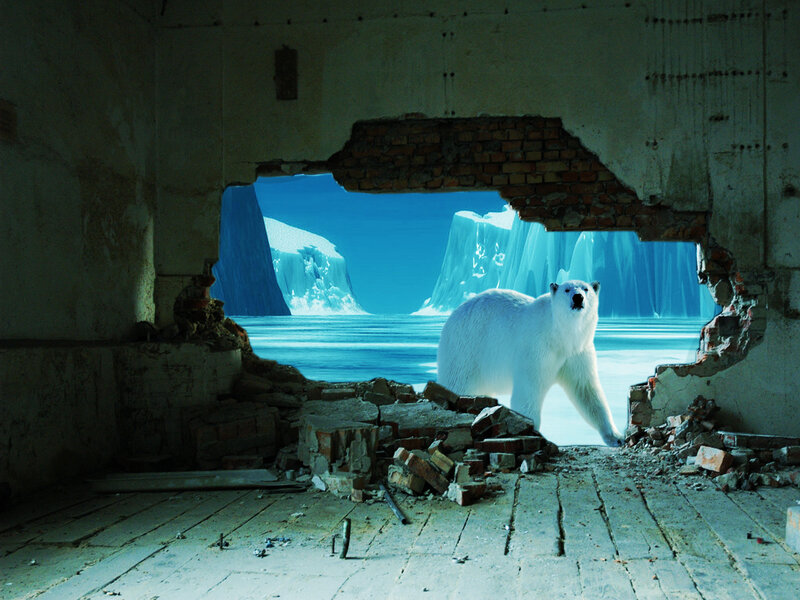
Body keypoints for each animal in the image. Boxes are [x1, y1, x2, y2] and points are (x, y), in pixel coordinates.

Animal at [437, 280, 623, 447]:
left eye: (586, 289)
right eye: (567, 289)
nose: (578, 298)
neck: (559, 335)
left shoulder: (577, 352)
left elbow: (586, 390)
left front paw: (616, 436)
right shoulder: (537, 348)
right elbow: (529, 390)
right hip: (466, 349)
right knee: (458, 383)